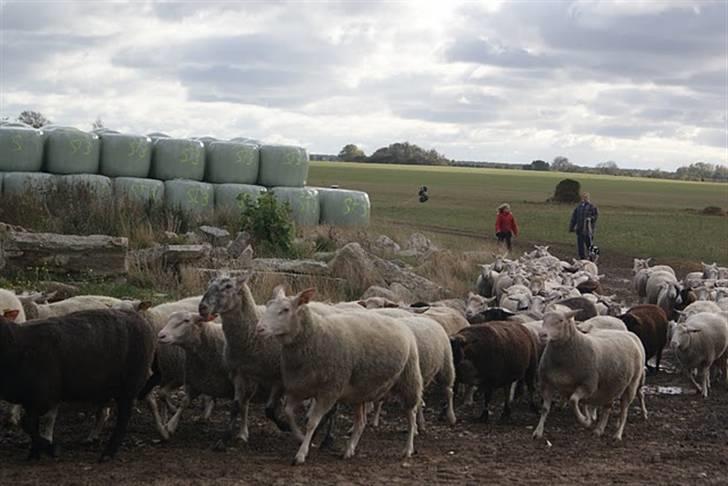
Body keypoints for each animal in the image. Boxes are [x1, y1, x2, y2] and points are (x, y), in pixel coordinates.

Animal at [0, 310, 155, 462]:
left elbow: (27, 423)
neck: (17, 346)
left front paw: (51, 449)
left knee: (123, 419)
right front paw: (34, 454)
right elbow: (32, 425)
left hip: (129, 386)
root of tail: (139, 318)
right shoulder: (30, 399)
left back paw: (108, 453)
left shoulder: (44, 398)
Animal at [256, 286, 420, 466]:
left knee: (411, 415)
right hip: (360, 391)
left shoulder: (329, 391)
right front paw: (299, 436)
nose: (259, 328)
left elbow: (312, 422)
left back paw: (408, 449)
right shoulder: (299, 387)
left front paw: (301, 453)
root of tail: (401, 324)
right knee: (361, 421)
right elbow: (288, 413)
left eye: (285, 310)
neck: (315, 336)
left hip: (409, 380)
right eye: (268, 305)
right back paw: (349, 450)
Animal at [532, 310, 644, 442]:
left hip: (631, 385)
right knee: (607, 407)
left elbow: (573, 400)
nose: (542, 335)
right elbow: (545, 409)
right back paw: (599, 430)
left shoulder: (588, 384)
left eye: (561, 320)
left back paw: (617, 434)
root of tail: (630, 334)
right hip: (611, 385)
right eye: (543, 319)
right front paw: (538, 432)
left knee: (624, 411)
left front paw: (585, 421)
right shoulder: (546, 383)